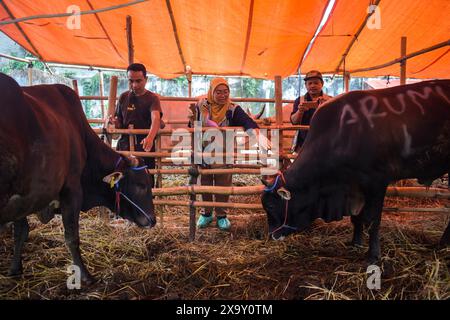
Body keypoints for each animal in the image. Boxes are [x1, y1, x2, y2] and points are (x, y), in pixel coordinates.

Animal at [0, 74, 156, 284]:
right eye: (141, 185)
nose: (153, 220)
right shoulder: (72, 190)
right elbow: (72, 237)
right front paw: (85, 275)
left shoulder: (22, 201)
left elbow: (20, 233)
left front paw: (15, 268)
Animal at [262, 79, 450, 262]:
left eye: (271, 205)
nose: (272, 235)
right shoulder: (355, 187)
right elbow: (357, 218)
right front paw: (356, 243)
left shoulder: (377, 182)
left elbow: (373, 220)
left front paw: (373, 255)